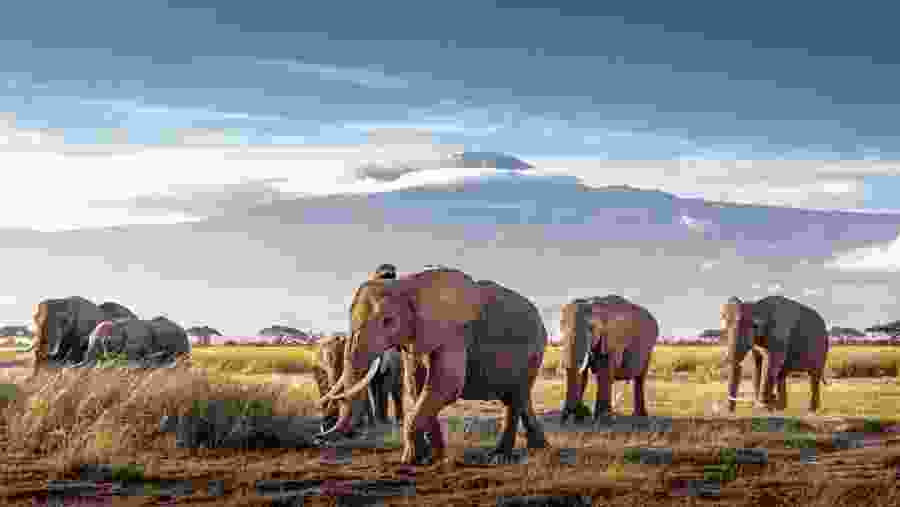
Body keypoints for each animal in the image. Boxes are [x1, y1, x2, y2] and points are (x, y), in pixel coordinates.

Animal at [317, 268, 548, 466]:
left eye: (388, 321)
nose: (318, 438)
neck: (409, 284)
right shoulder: (414, 336)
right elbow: (417, 385)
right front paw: (432, 459)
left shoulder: (454, 332)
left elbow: (445, 385)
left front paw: (410, 460)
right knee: (519, 397)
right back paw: (539, 447)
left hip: (534, 350)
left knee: (515, 398)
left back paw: (500, 457)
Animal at [559, 295, 659, 424]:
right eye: (561, 328)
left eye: (591, 328)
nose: (564, 420)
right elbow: (582, 375)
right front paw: (580, 419)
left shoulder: (612, 340)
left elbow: (604, 372)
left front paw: (603, 420)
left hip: (648, 348)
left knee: (640, 378)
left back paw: (640, 418)